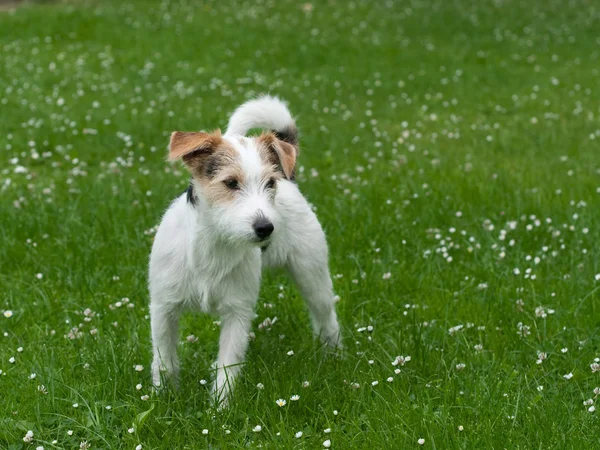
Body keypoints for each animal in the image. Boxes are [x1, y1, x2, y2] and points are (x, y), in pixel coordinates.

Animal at [149, 95, 342, 404]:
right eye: (230, 183)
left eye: (270, 183)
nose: (266, 228)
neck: (216, 244)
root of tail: (290, 178)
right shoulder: (163, 308)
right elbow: (164, 359)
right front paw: (162, 399)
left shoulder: (237, 313)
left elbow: (227, 366)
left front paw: (220, 409)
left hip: (312, 275)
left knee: (327, 319)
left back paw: (334, 358)